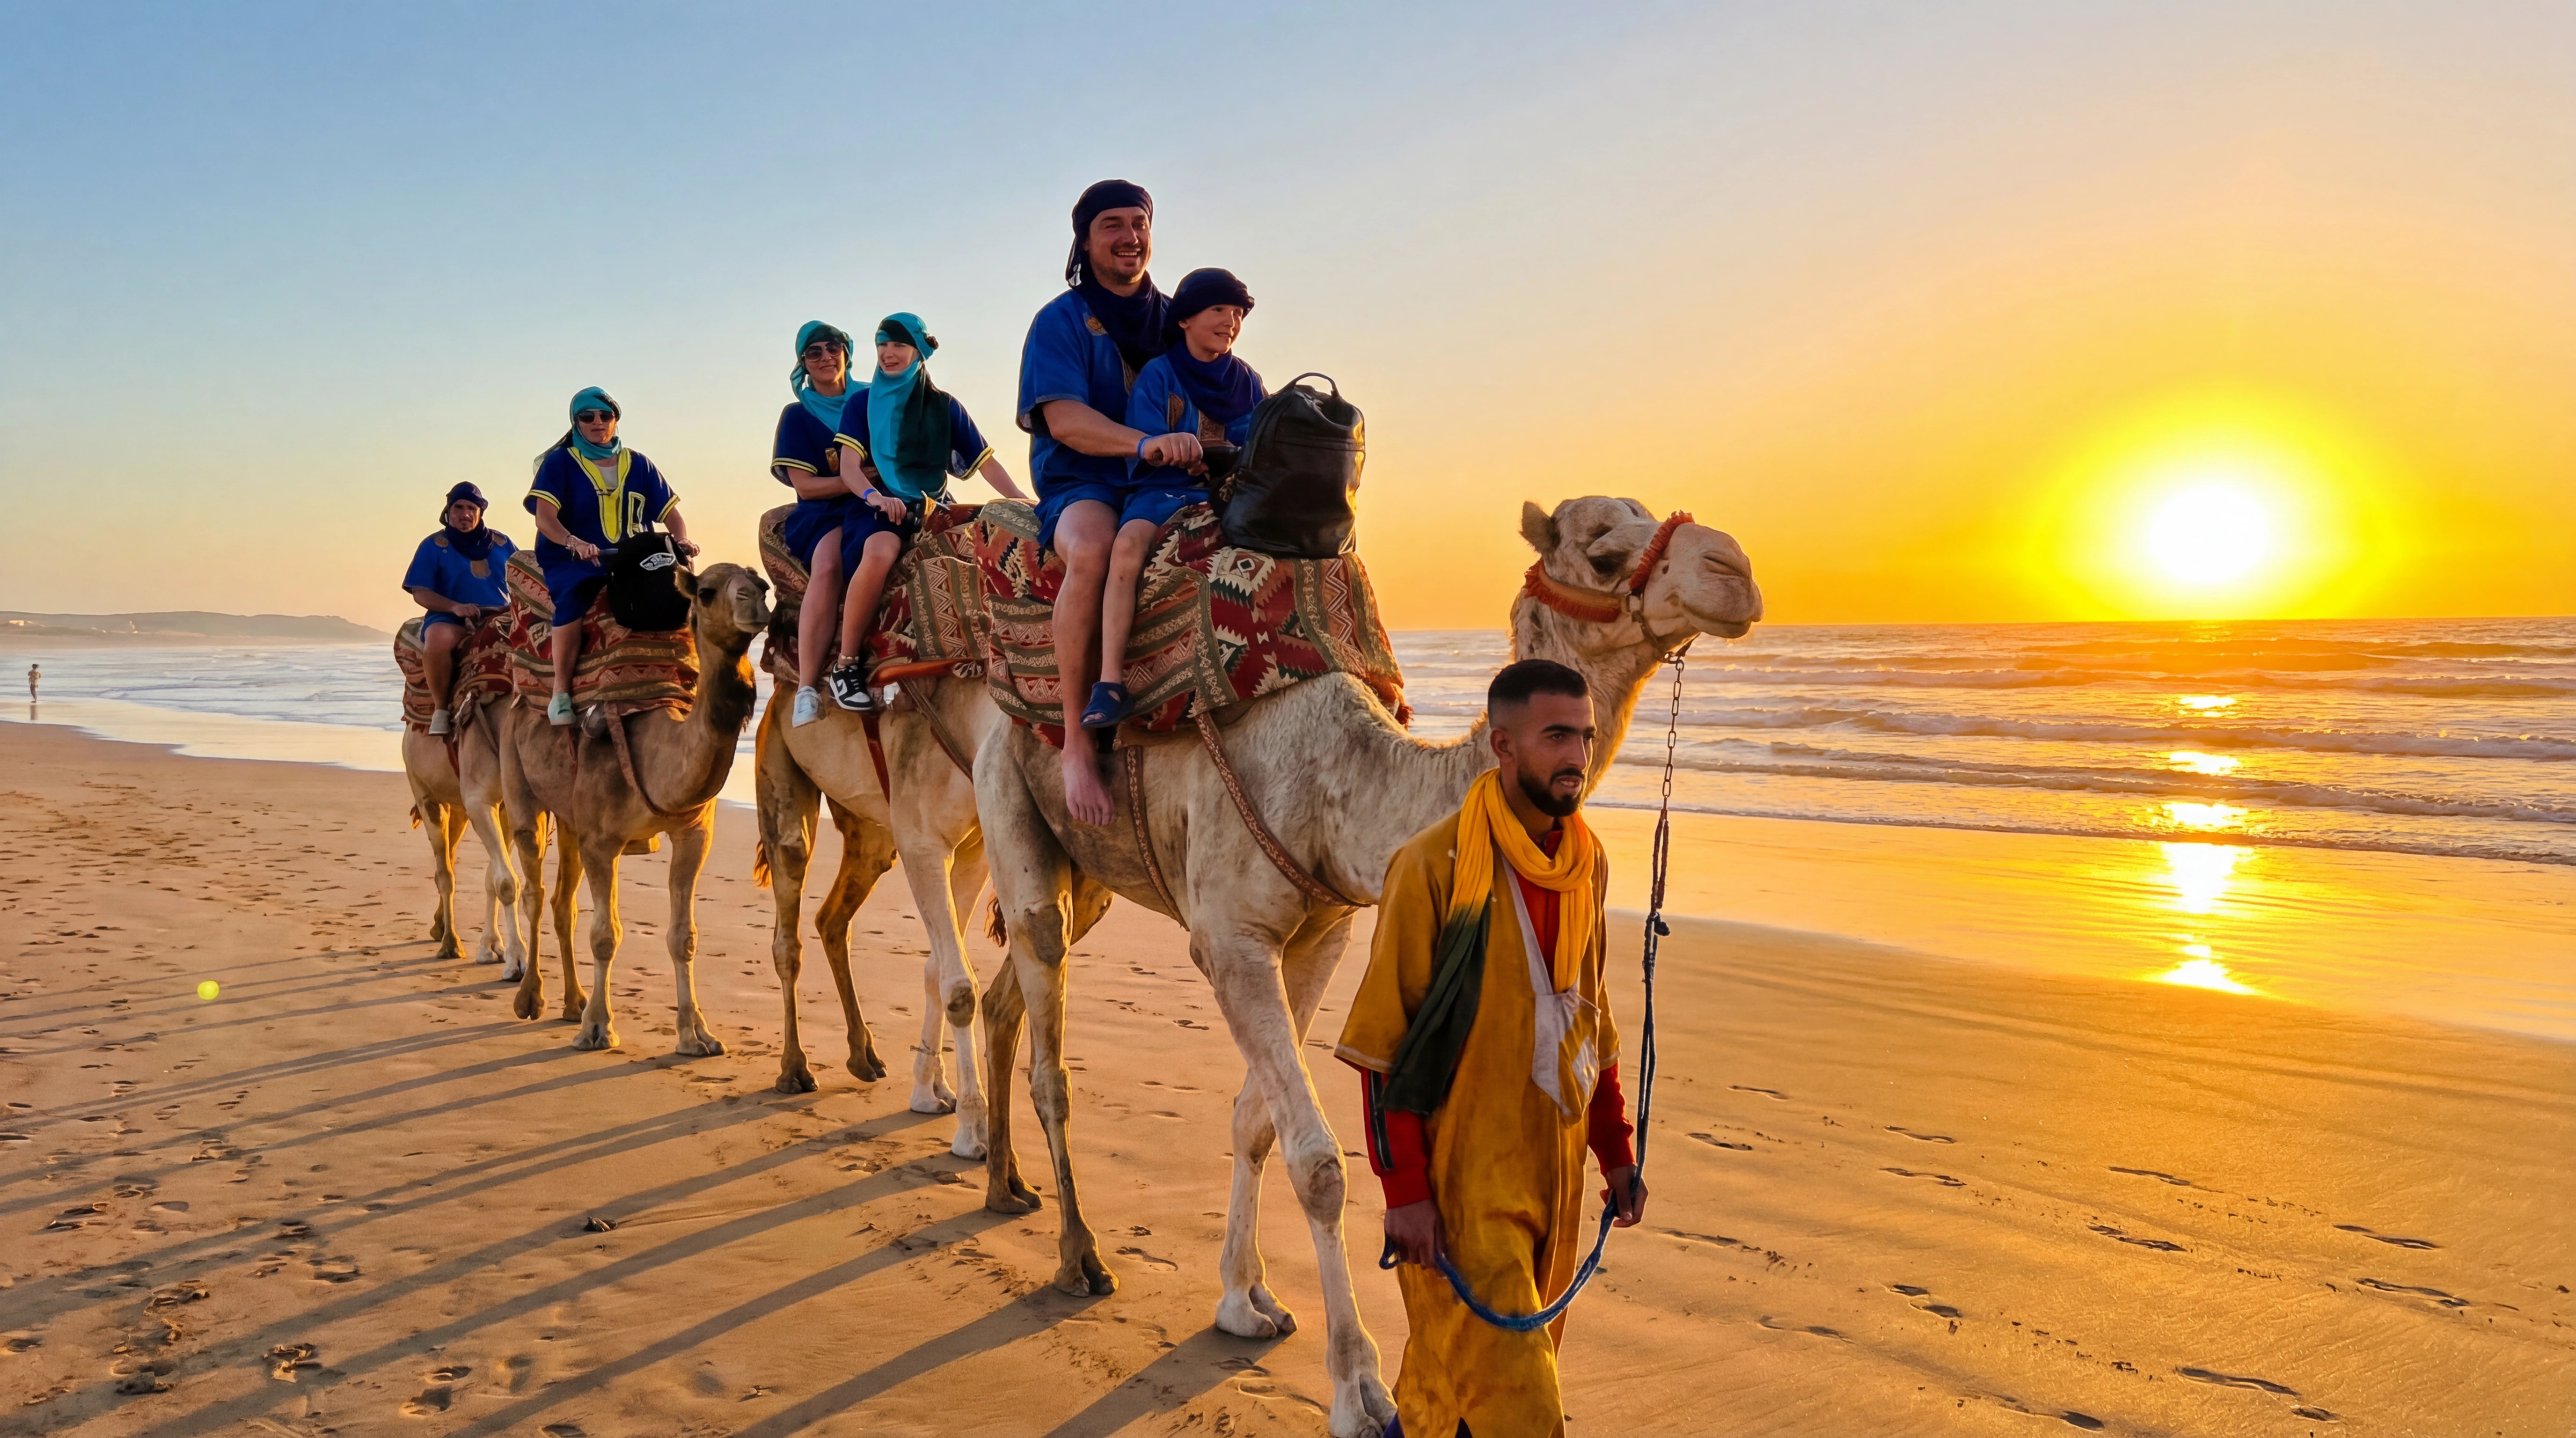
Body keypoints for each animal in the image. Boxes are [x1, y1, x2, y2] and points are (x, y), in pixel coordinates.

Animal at [399, 679, 530, 977]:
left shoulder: (504, 807)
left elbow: (493, 878)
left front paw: (492, 947)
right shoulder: (479, 801)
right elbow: (506, 882)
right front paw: (517, 961)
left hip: (457, 808)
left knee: (451, 857)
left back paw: (439, 927)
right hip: (425, 794)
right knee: (445, 872)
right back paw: (450, 944)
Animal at [497, 562, 773, 1053]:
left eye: (761, 584)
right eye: (706, 592)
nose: (755, 603)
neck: (655, 752)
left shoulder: (693, 833)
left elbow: (683, 937)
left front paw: (697, 1035)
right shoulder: (603, 842)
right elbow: (606, 935)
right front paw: (598, 1028)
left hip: (571, 822)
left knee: (562, 902)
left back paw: (573, 1003)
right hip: (520, 783)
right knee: (533, 890)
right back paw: (531, 999)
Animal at [752, 667, 1018, 1158]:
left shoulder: (975, 849)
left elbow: (936, 969)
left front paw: (932, 1093)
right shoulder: (922, 842)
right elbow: (959, 986)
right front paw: (973, 1130)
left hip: (871, 830)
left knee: (832, 918)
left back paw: (865, 1058)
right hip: (779, 761)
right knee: (788, 926)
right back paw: (794, 1070)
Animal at [973, 496, 1761, 1438]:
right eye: (1604, 553)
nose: (1734, 570)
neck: (1338, 785)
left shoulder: (1322, 934)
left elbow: (1256, 1123)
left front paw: (1242, 1301)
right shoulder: (1230, 940)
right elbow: (1319, 1163)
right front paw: (1357, 1388)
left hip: (1090, 870)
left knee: (1008, 996)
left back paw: (1003, 1186)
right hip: (1009, 802)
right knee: (1046, 1037)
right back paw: (1078, 1254)